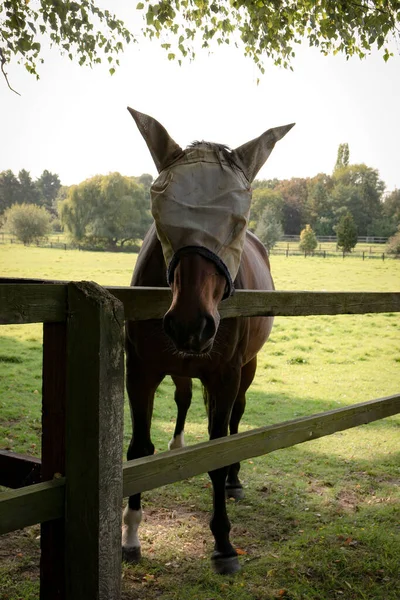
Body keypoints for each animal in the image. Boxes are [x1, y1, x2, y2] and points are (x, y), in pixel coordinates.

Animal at [122, 109, 294, 576]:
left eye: (238, 222)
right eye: (161, 218)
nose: (191, 326)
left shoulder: (224, 376)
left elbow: (218, 451)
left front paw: (223, 543)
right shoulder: (140, 373)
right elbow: (138, 451)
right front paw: (130, 532)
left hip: (246, 371)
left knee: (235, 419)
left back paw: (234, 479)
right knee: (183, 400)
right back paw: (178, 444)